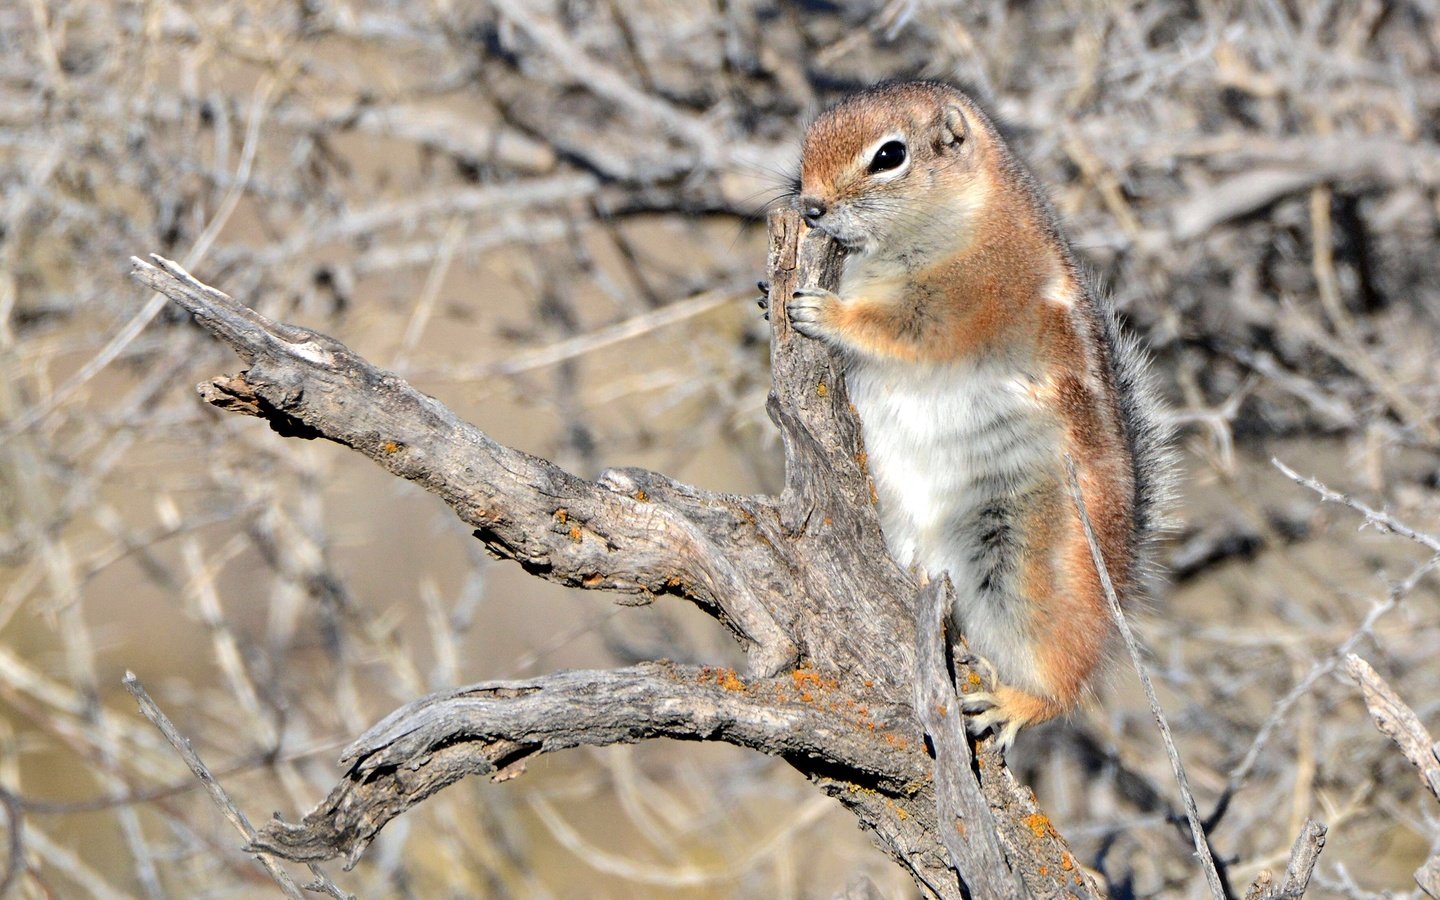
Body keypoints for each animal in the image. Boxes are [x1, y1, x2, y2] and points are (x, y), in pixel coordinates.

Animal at [777, 82, 1169, 743]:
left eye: (889, 156)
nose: (810, 207)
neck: (968, 218)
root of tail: (1120, 578)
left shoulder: (967, 302)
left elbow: (900, 331)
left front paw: (826, 312)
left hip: (1025, 567)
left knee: (1066, 678)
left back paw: (1016, 702)